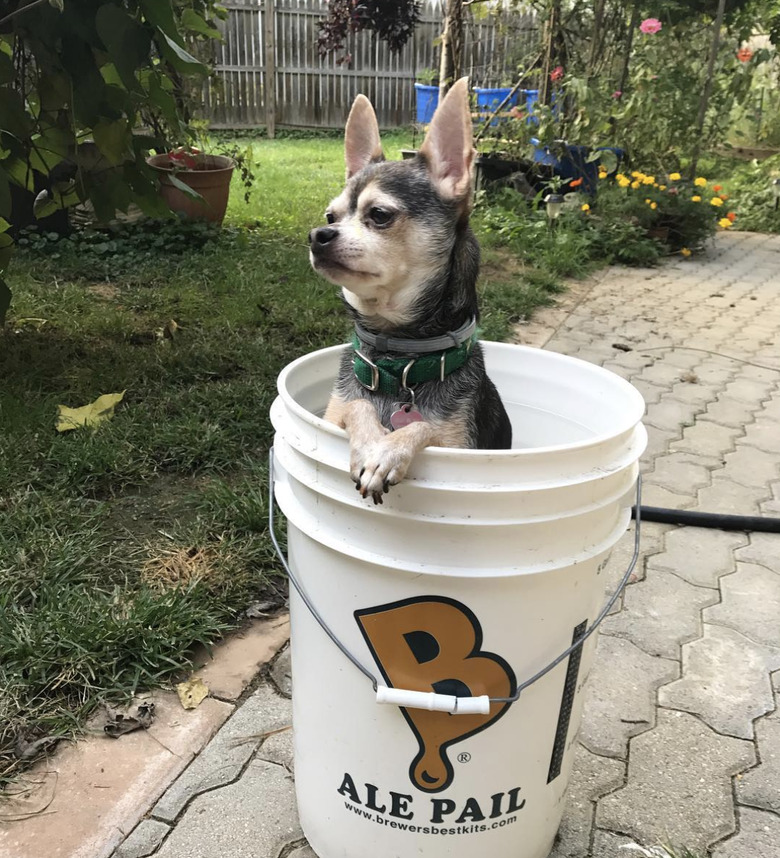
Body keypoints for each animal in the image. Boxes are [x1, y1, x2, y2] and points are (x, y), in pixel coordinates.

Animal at [308, 77, 516, 502]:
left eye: (379, 215)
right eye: (331, 216)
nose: (318, 235)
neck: (397, 362)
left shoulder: (459, 447)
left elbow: (425, 426)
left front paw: (386, 453)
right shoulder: (332, 417)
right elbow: (356, 406)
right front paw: (371, 441)